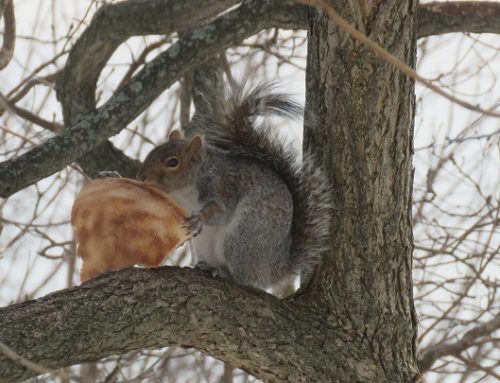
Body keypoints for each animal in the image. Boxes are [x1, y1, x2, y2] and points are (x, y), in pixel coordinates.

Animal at [138, 82, 332, 292]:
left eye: (173, 162)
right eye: (153, 151)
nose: (142, 177)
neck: (185, 191)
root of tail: (274, 269)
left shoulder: (222, 185)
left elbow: (221, 211)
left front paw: (199, 218)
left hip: (242, 238)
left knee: (245, 279)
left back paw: (226, 274)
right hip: (207, 245)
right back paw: (209, 266)